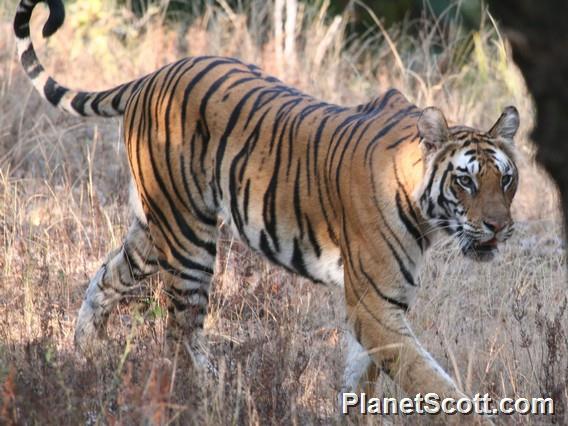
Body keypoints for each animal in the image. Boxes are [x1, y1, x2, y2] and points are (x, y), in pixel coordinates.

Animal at [13, 0, 520, 416]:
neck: (422, 207)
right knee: (180, 333)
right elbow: (432, 381)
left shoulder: (378, 308)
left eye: (506, 179)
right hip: (190, 239)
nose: (499, 227)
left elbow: (363, 381)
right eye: (465, 180)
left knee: (106, 278)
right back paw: (209, 396)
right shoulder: (376, 307)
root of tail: (151, 76)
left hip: (153, 229)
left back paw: (84, 358)